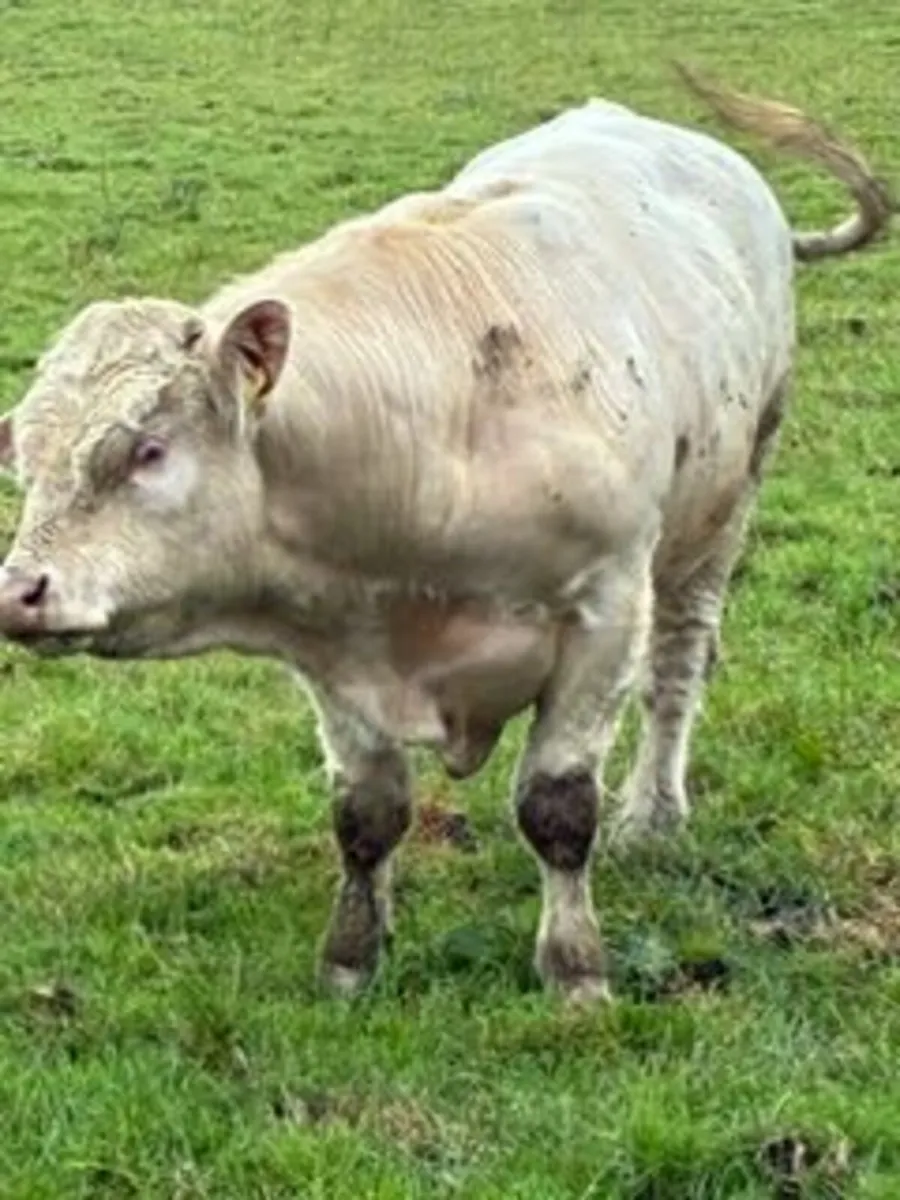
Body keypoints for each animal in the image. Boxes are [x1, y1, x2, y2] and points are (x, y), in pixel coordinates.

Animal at [0, 65, 891, 1004]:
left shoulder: (604, 610)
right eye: (27, 463)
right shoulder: (332, 652)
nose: (21, 593)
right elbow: (367, 816)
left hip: (720, 514)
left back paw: (654, 811)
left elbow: (558, 807)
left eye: (148, 450)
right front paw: (351, 960)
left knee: (679, 666)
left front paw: (576, 970)